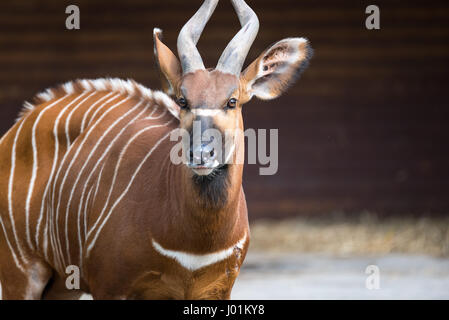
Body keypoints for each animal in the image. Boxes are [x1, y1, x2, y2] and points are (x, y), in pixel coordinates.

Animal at [0, 0, 312, 300]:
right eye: (183, 100)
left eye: (232, 101)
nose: (200, 154)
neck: (196, 246)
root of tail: (17, 127)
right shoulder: (112, 286)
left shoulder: (216, 290)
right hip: (21, 272)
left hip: (63, 284)